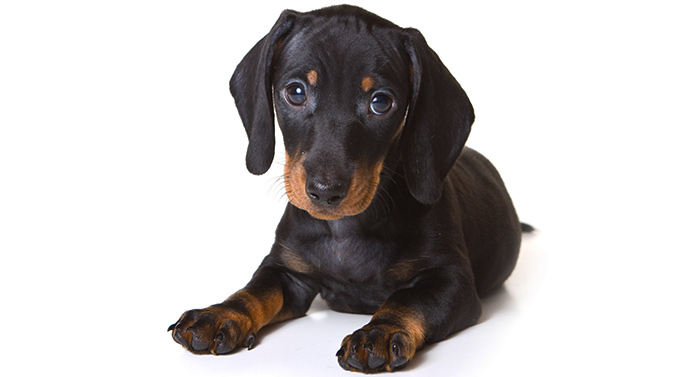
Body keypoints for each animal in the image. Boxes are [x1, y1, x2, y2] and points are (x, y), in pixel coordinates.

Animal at [171, 4, 524, 372]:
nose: (325, 191)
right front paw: (221, 314)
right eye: (296, 92)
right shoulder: (286, 269)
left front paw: (381, 331)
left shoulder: (451, 281)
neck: (345, 230)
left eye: (381, 102)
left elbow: (407, 299)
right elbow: (256, 289)